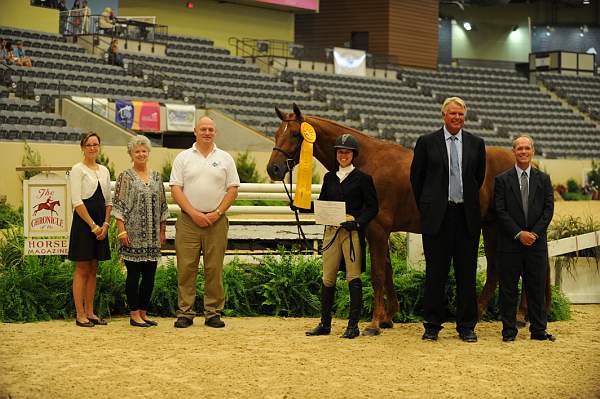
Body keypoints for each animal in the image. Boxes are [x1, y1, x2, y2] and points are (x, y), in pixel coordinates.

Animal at [264, 104, 548, 336]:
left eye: (295, 134)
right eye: (277, 134)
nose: (273, 169)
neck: (366, 160)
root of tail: (526, 165)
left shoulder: (377, 229)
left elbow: (378, 273)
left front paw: (374, 323)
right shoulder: (376, 229)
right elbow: (388, 270)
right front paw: (388, 317)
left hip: (497, 228)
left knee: (505, 269)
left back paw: (500, 316)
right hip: (492, 227)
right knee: (502, 270)